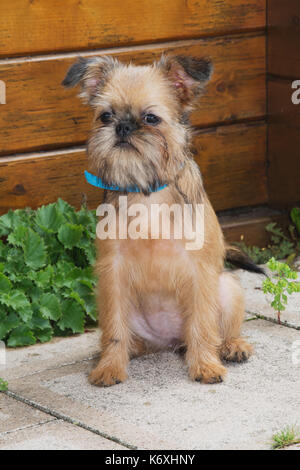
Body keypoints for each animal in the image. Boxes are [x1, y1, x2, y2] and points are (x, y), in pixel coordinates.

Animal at [63, 55, 262, 386]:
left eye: (151, 118)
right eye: (105, 116)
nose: (122, 126)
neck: (146, 191)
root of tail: (169, 342)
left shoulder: (199, 271)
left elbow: (202, 324)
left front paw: (205, 366)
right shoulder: (112, 273)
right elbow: (114, 329)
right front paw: (110, 367)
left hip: (228, 286)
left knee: (219, 329)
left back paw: (232, 347)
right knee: (121, 333)